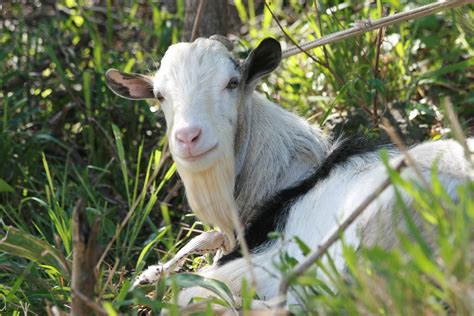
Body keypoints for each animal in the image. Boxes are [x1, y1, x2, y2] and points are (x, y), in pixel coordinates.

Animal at [105, 36, 472, 306]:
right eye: (159, 95)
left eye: (232, 83)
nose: (188, 137)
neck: (288, 174)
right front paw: (149, 273)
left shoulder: (261, 260)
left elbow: (191, 290)